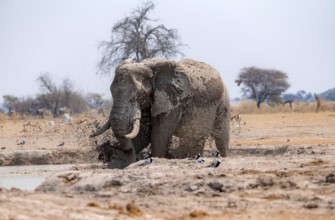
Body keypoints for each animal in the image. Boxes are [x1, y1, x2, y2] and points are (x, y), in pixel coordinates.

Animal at [90, 57, 230, 168]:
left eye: (138, 95)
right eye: (111, 92)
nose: (110, 146)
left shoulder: (173, 102)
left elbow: (159, 134)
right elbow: (144, 134)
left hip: (223, 101)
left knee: (221, 138)